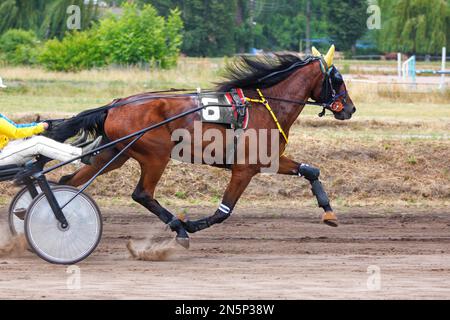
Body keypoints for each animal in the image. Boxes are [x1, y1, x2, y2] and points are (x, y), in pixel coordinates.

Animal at [48, 47, 356, 248]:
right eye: (337, 79)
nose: (350, 108)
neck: (266, 105)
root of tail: (115, 104)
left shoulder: (269, 160)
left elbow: (311, 170)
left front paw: (329, 212)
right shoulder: (244, 169)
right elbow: (223, 211)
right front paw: (191, 225)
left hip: (113, 154)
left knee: (70, 180)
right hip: (155, 155)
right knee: (142, 194)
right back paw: (178, 227)